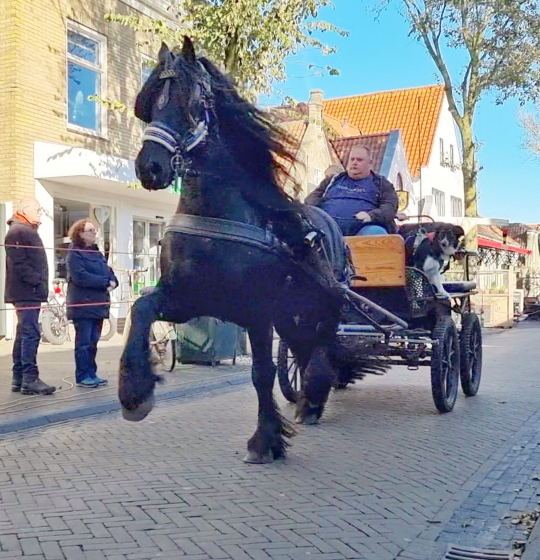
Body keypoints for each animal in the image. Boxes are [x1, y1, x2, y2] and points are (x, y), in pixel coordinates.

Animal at [118, 36, 372, 464]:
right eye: (148, 103)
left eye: (190, 101)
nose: (149, 167)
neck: (215, 213)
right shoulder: (188, 298)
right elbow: (141, 308)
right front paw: (135, 392)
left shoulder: (258, 312)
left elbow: (261, 373)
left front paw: (266, 440)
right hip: (292, 315)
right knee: (304, 350)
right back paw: (309, 399)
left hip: (320, 308)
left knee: (320, 348)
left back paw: (312, 401)